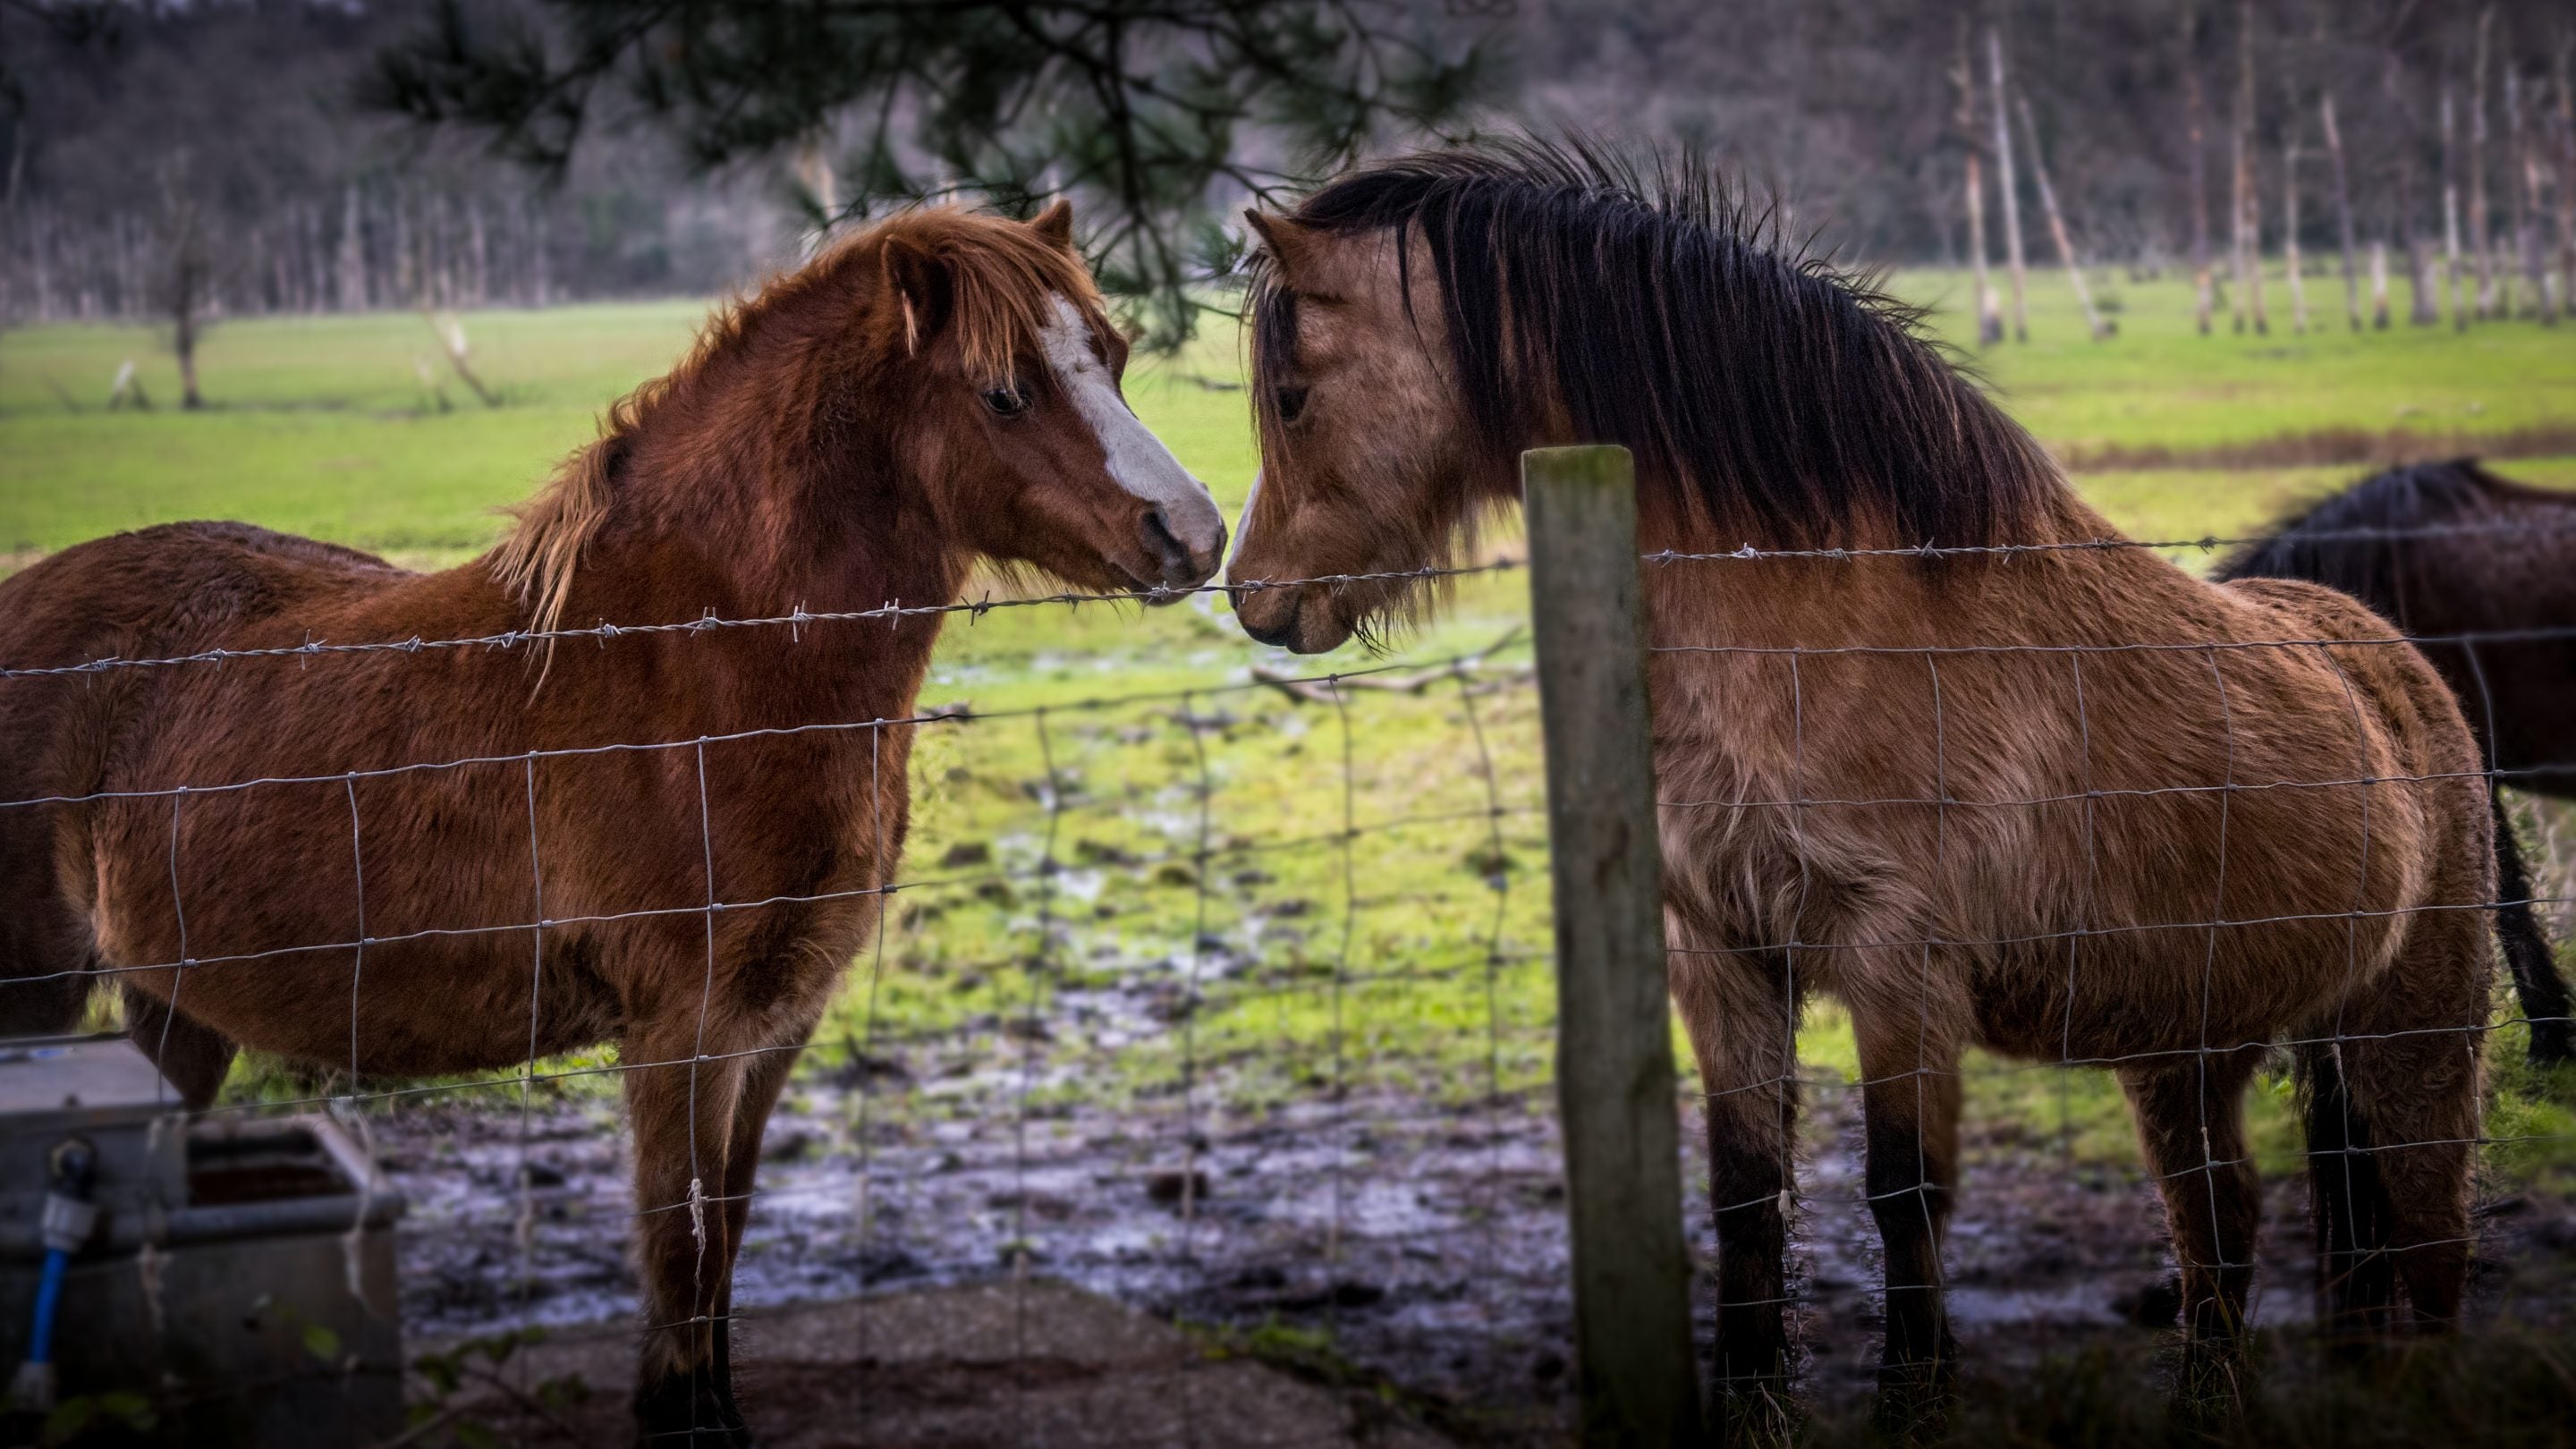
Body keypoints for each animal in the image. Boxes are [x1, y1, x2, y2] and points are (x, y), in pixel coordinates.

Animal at [0, 199, 1224, 1447]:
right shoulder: (682, 1030)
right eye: (1005, 392)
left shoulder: (774, 1027)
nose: (1193, 532)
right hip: (34, 1002)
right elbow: (679, 1262)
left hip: (172, 1011)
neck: (702, 659)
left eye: (1114, 357)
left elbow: (722, 1251)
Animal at [1224, 140, 2492, 1418]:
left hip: (2409, 1040)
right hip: (2188, 1053)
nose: (1256, 599)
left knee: (2431, 1246)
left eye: (1291, 395)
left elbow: (1903, 1195)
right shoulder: (1722, 958)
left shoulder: (1898, 968)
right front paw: (1749, 1403)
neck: (1812, 620)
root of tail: (2393, 665)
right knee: (2222, 1228)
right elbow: (1745, 1198)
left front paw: (1910, 1403)